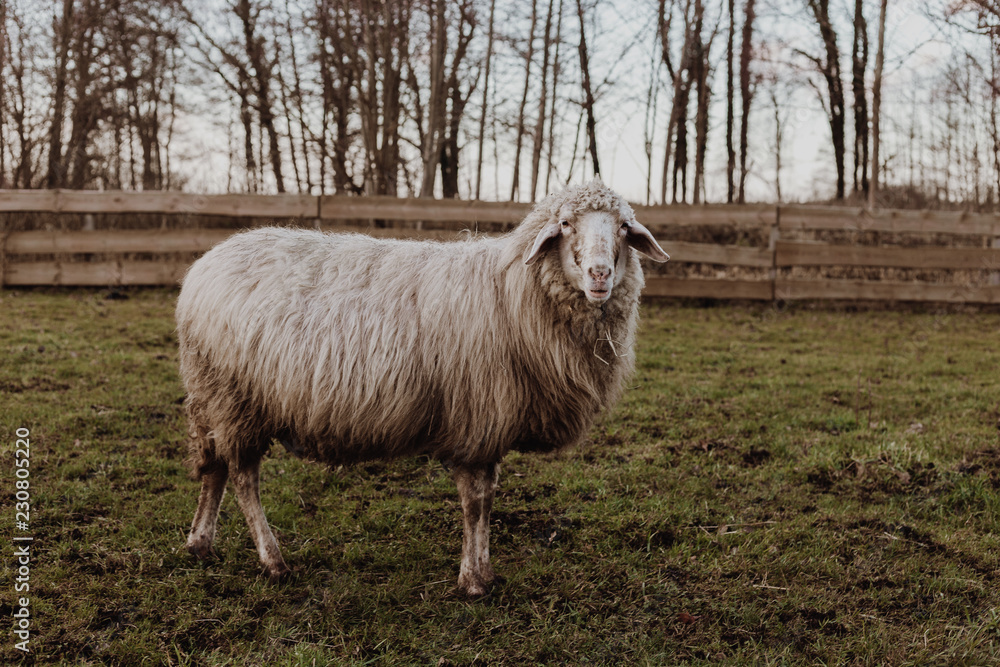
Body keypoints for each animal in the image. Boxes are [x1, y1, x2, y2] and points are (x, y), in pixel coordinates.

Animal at [176, 179, 668, 596]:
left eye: (624, 227)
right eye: (565, 225)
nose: (600, 275)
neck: (511, 290)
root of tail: (203, 266)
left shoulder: (488, 425)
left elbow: (488, 498)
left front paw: (485, 572)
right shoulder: (476, 419)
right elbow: (475, 502)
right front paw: (473, 581)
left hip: (211, 396)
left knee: (215, 468)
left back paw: (200, 543)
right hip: (235, 397)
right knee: (243, 478)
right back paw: (272, 560)